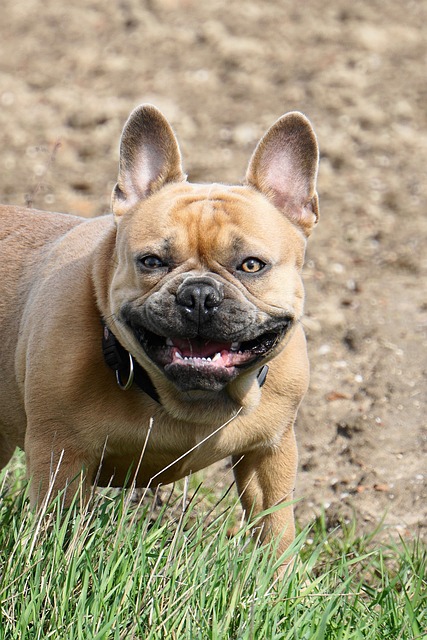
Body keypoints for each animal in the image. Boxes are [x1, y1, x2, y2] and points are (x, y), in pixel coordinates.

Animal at [0, 105, 320, 556]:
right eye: (152, 261)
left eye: (251, 265)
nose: (199, 294)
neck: (188, 401)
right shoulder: (59, 455)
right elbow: (58, 528)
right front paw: (55, 564)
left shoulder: (270, 453)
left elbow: (275, 527)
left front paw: (274, 573)